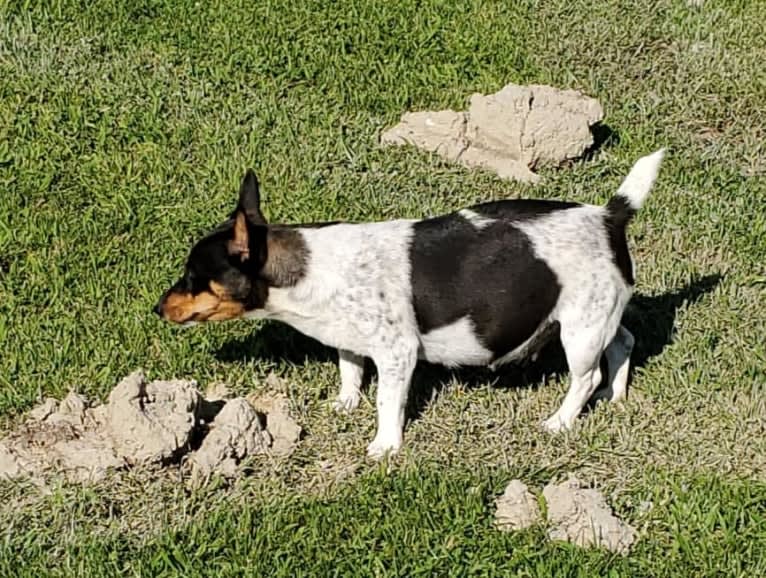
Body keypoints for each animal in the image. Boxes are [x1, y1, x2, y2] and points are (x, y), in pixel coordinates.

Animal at [156, 150, 664, 460]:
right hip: (597, 316)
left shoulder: (397, 353)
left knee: (585, 377)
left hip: (578, 331)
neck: (307, 271)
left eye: (192, 277)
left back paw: (561, 421)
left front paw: (385, 445)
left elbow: (386, 400)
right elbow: (349, 368)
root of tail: (609, 215)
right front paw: (346, 402)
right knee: (623, 340)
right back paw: (614, 394)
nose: (158, 309)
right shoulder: (352, 338)